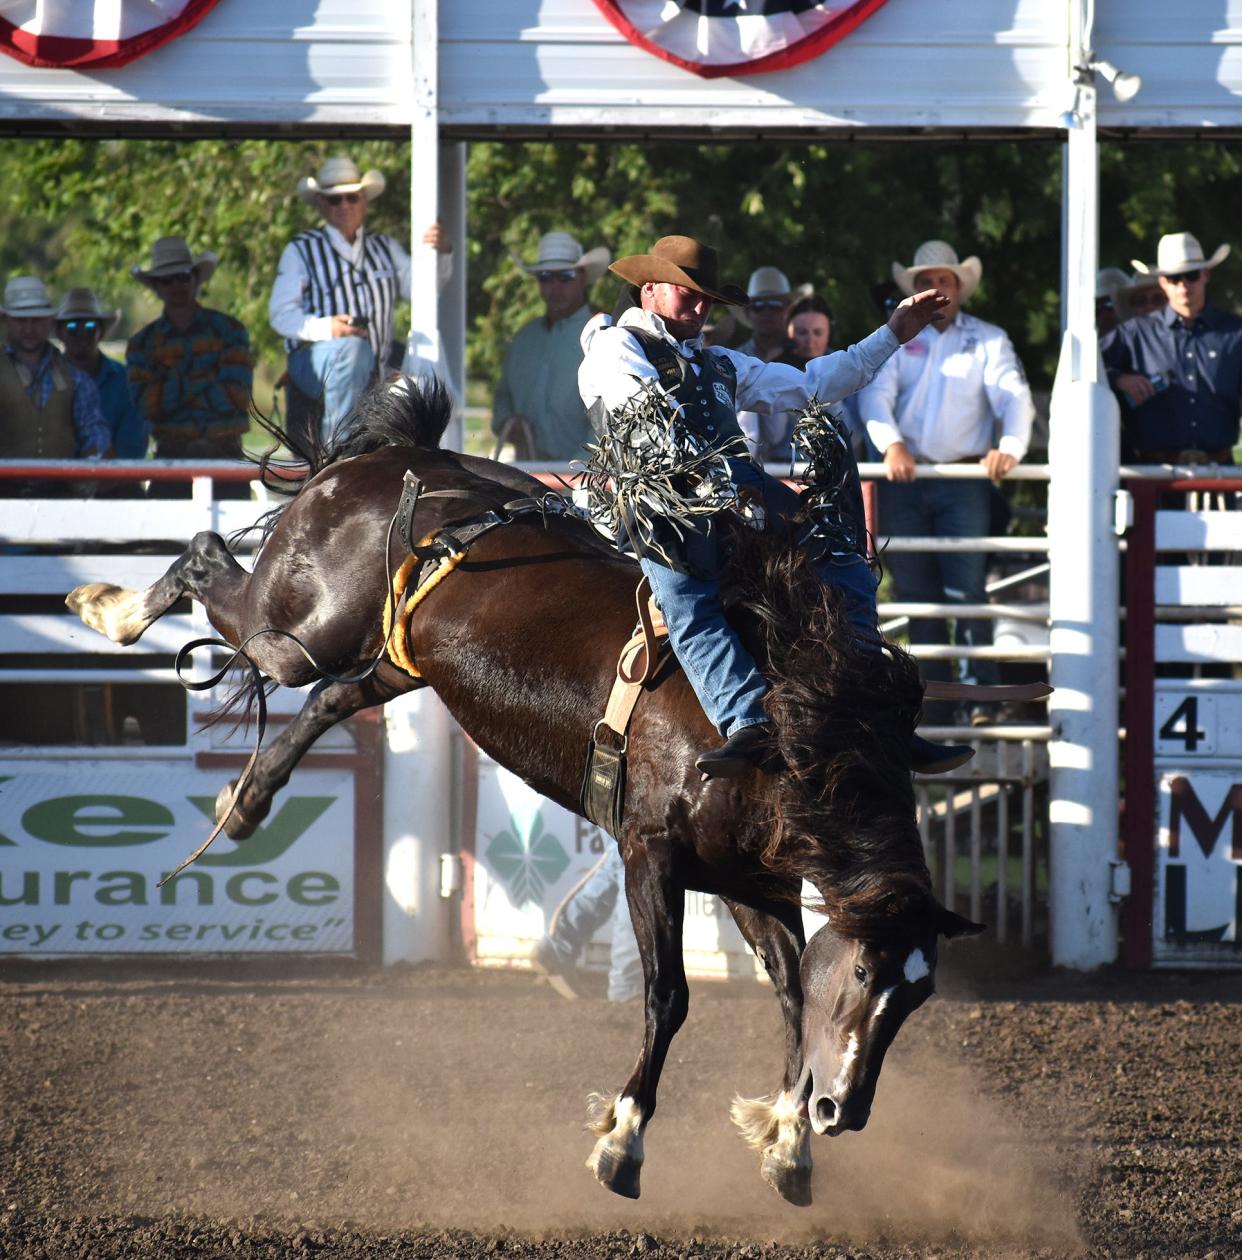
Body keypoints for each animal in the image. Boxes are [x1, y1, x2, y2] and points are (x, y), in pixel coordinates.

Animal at [67, 378, 977, 1204]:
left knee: (326, 699)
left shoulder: (753, 881)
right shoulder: (650, 854)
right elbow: (669, 996)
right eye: (865, 972)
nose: (842, 1112)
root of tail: (389, 458)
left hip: (393, 660)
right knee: (208, 562)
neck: (778, 735)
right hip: (299, 629)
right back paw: (108, 608)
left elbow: (789, 995)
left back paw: (244, 804)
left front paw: (788, 1145)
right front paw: (623, 1140)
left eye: (918, 994)